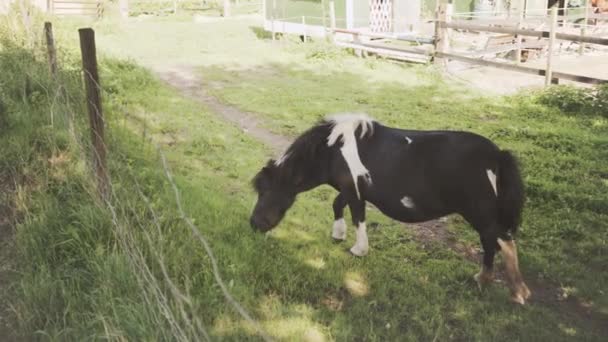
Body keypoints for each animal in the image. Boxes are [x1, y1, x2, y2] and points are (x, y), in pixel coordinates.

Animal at [249, 113, 528, 304]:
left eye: (265, 191)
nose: (254, 224)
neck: (334, 149)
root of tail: (497, 155)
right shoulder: (350, 189)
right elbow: (337, 204)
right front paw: (338, 234)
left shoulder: (355, 192)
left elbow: (358, 218)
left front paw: (358, 249)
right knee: (491, 242)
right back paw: (486, 280)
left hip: (479, 212)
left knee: (502, 242)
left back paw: (516, 291)